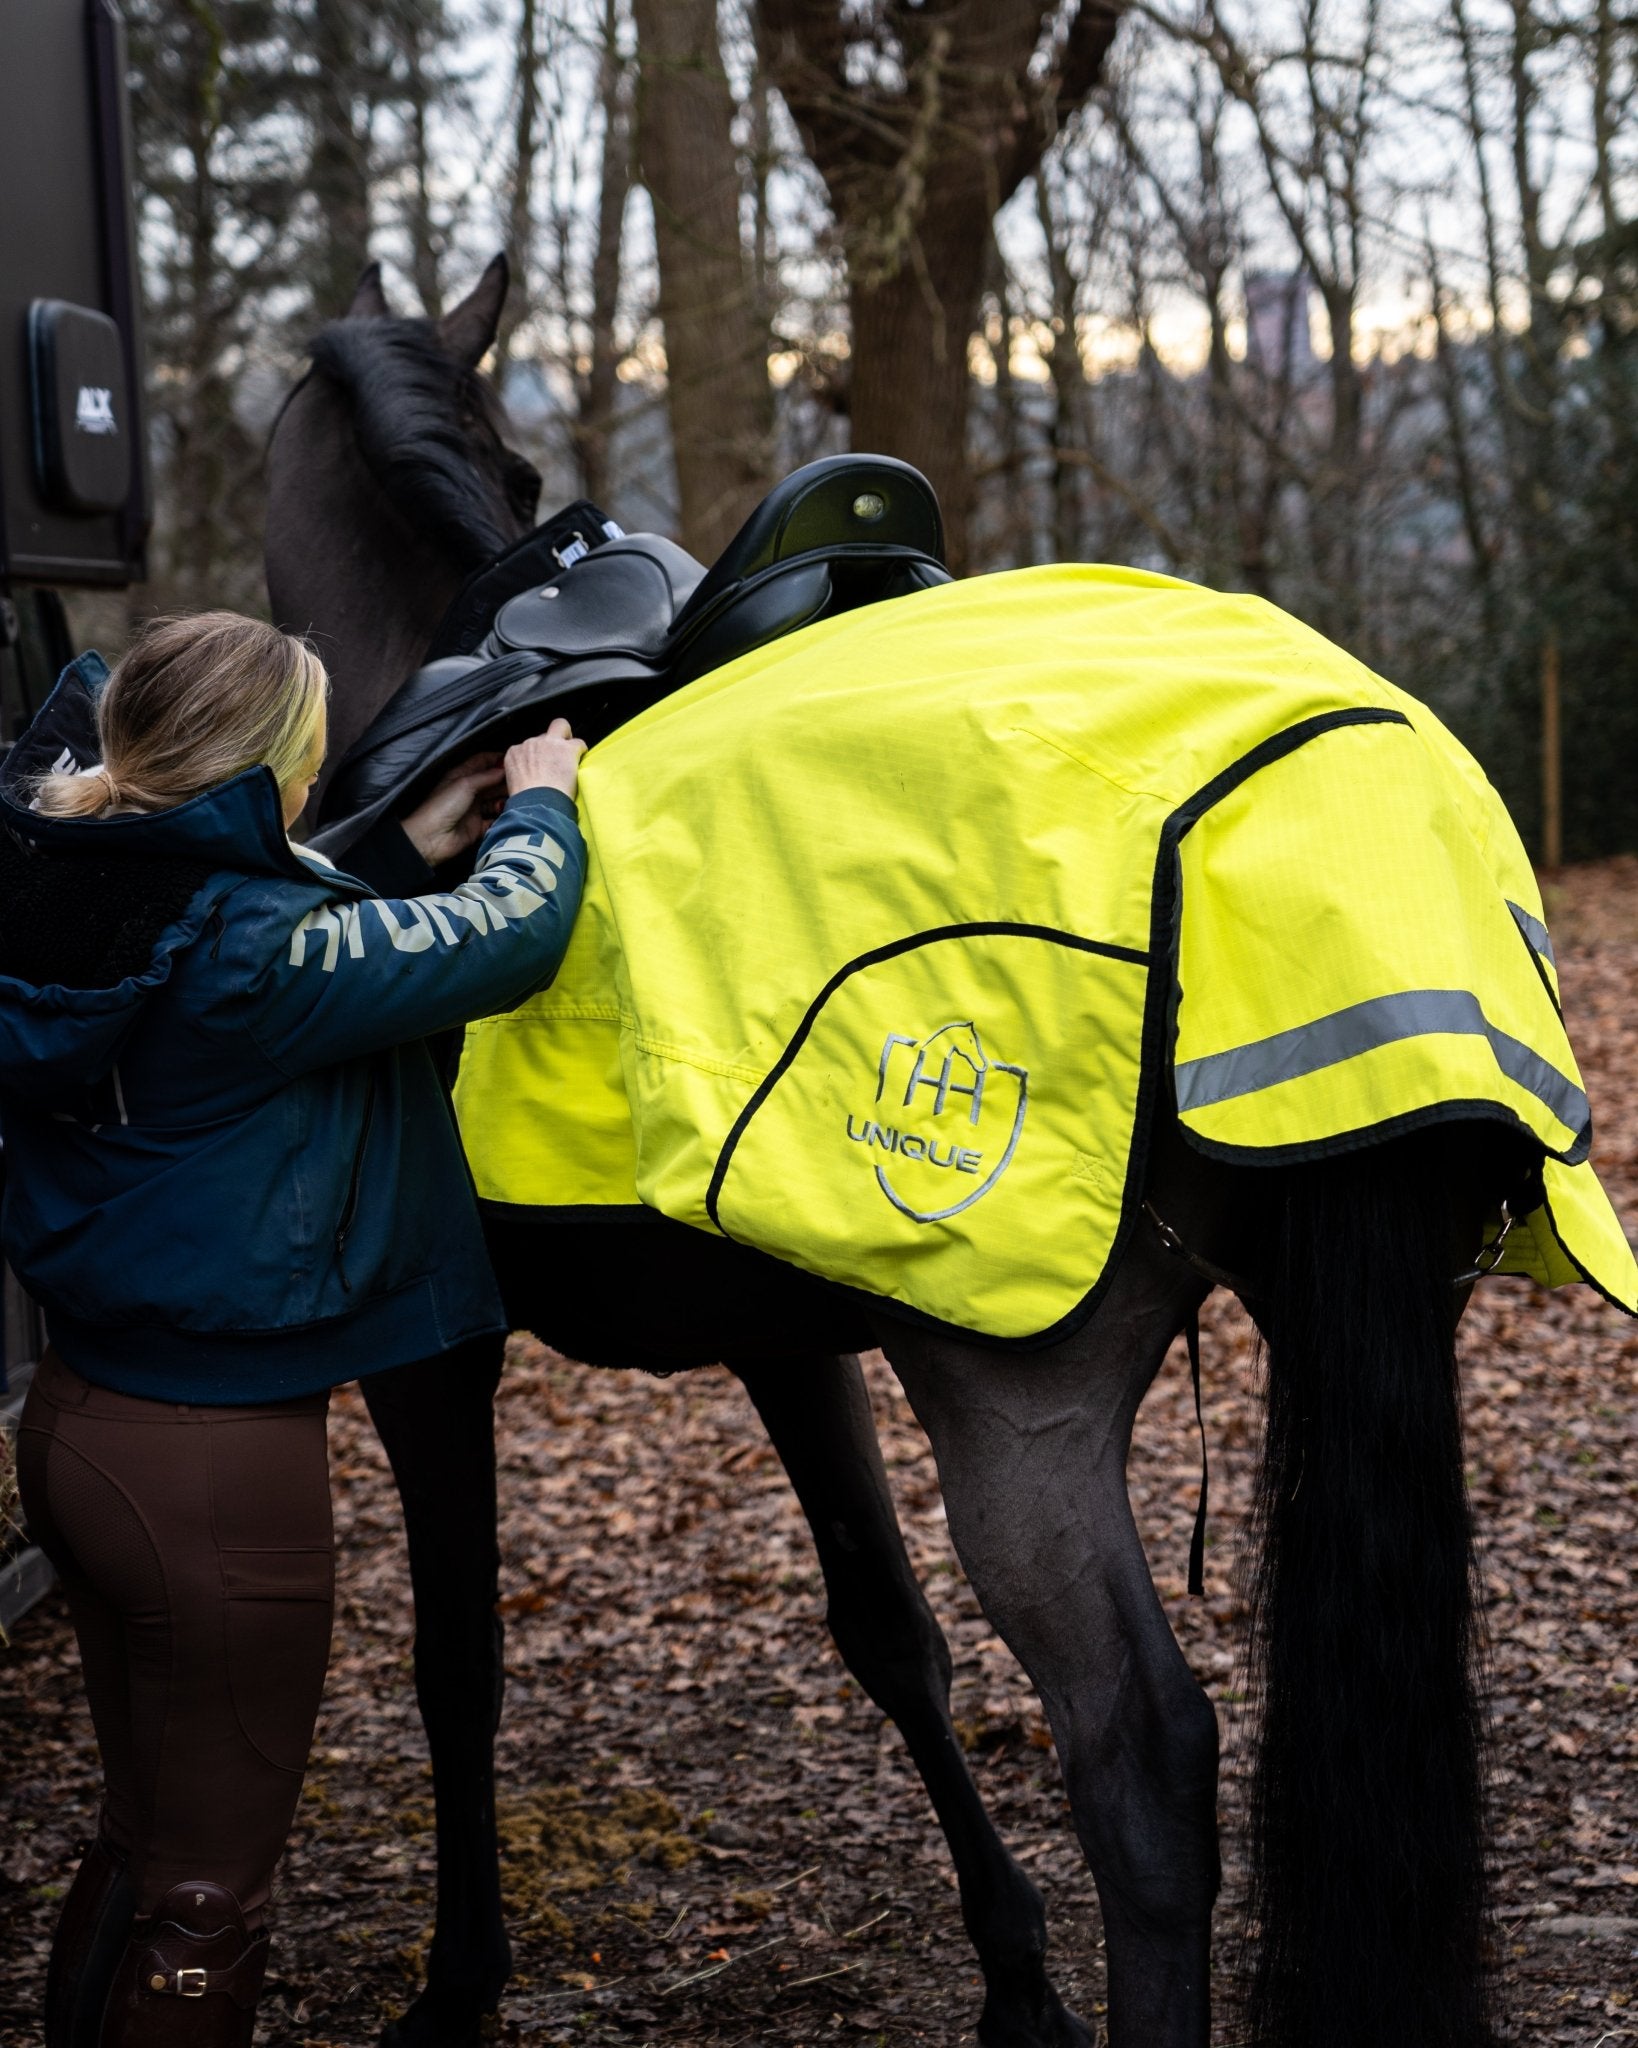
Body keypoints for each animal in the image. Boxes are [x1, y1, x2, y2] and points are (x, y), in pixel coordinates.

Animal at [266, 256, 1534, 2048]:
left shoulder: (427, 1353)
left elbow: (457, 1661)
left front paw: (457, 1988)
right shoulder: (782, 1329)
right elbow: (883, 1624)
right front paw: (1014, 1980)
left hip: (1018, 1406)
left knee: (1145, 1753)